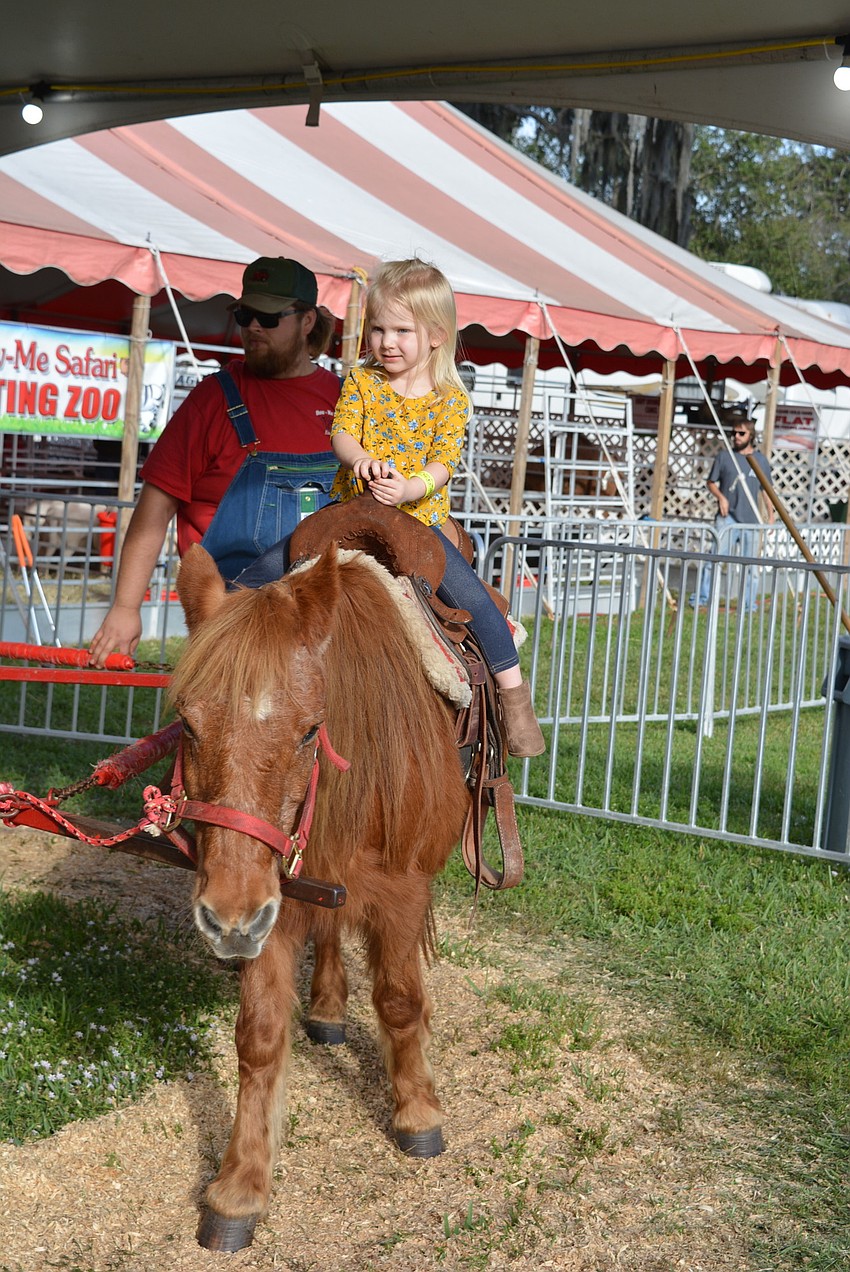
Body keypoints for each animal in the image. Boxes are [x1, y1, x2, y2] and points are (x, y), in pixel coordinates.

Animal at [171, 540, 471, 1252]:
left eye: (310, 730)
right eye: (187, 726)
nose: (225, 919)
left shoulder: (401, 892)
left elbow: (399, 1001)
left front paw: (417, 1113)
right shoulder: (270, 907)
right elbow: (258, 1037)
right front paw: (240, 1188)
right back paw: (329, 1007)